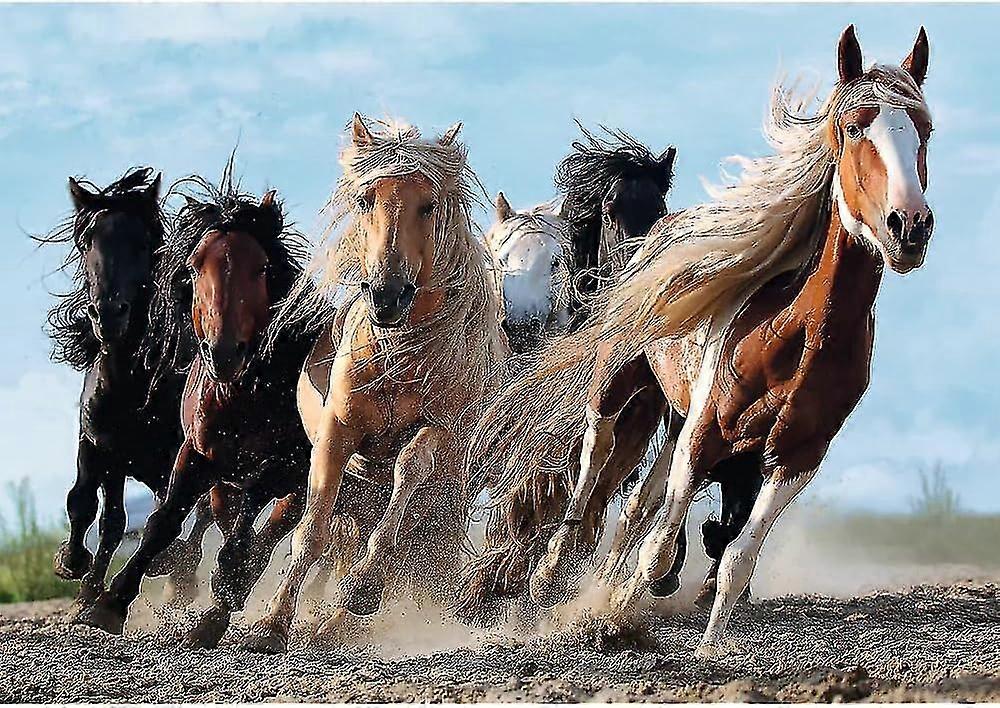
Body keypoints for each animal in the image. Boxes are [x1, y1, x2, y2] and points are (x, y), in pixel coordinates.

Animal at [39, 168, 211, 613]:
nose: (108, 314)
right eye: (87, 240)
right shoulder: (99, 444)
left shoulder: (175, 456)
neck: (130, 388)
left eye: (144, 242)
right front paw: (76, 571)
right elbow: (91, 506)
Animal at [72, 168, 318, 648]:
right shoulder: (188, 454)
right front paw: (106, 602)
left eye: (262, 268)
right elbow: (154, 521)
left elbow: (245, 529)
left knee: (266, 535)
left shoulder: (283, 466)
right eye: (193, 267)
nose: (223, 352)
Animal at [241, 115, 508, 654]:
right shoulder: (337, 435)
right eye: (366, 199)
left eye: (429, 205)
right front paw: (273, 622)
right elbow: (312, 532)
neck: (397, 354)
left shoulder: (439, 432)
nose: (387, 295)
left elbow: (404, 485)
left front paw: (357, 593)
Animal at [457, 126, 678, 623]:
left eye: (658, 211)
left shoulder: (624, 423)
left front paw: (543, 570)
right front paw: (498, 574)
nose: (520, 323)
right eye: (501, 258)